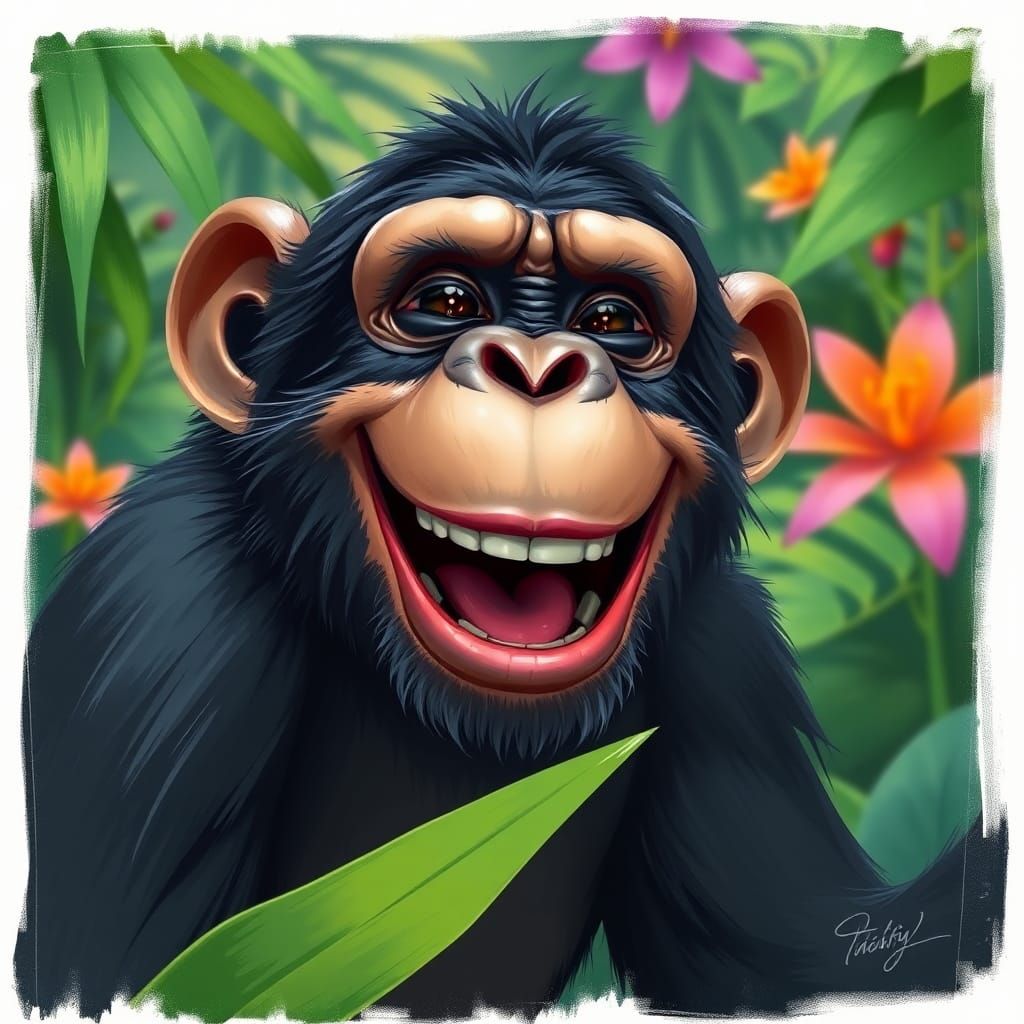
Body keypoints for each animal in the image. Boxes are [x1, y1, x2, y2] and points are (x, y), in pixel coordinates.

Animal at [15, 85, 1005, 1019]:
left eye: (612, 318)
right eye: (446, 301)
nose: (536, 368)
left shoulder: (730, 666)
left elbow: (810, 963)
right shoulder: (160, 629)